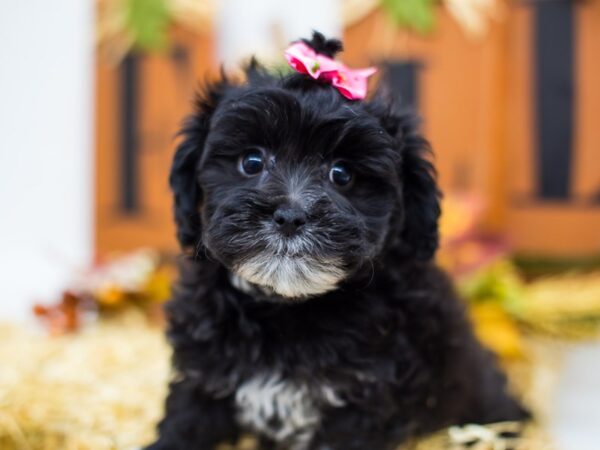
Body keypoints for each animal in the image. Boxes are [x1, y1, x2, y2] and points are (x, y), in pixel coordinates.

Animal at [148, 32, 528, 450]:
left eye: (342, 174)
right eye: (252, 162)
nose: (290, 216)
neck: (286, 309)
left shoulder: (363, 399)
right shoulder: (205, 372)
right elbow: (187, 419)